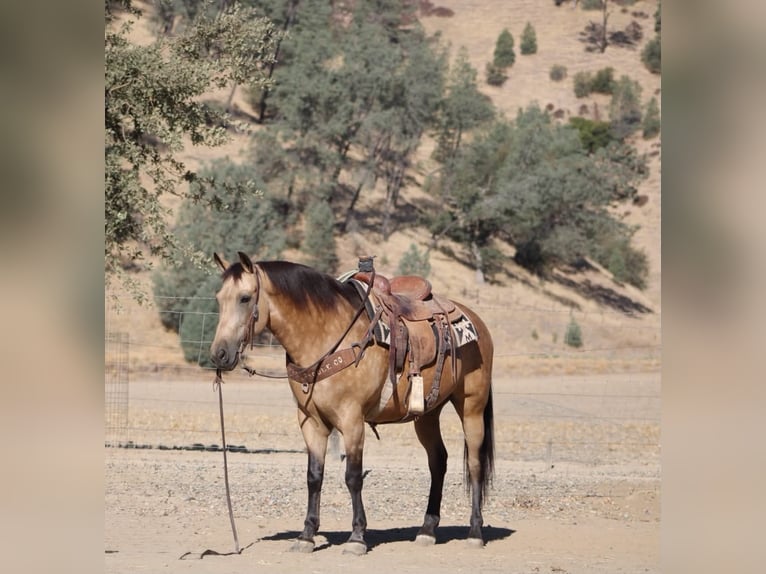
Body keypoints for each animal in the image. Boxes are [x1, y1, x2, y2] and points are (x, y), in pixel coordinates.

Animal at [210, 252, 495, 555]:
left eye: (245, 298)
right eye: (219, 298)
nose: (219, 354)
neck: (324, 336)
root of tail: (476, 321)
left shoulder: (352, 420)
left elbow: (353, 476)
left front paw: (357, 536)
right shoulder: (311, 422)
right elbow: (314, 476)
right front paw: (306, 535)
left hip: (471, 407)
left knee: (474, 464)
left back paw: (475, 532)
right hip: (428, 413)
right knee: (438, 461)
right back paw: (427, 530)